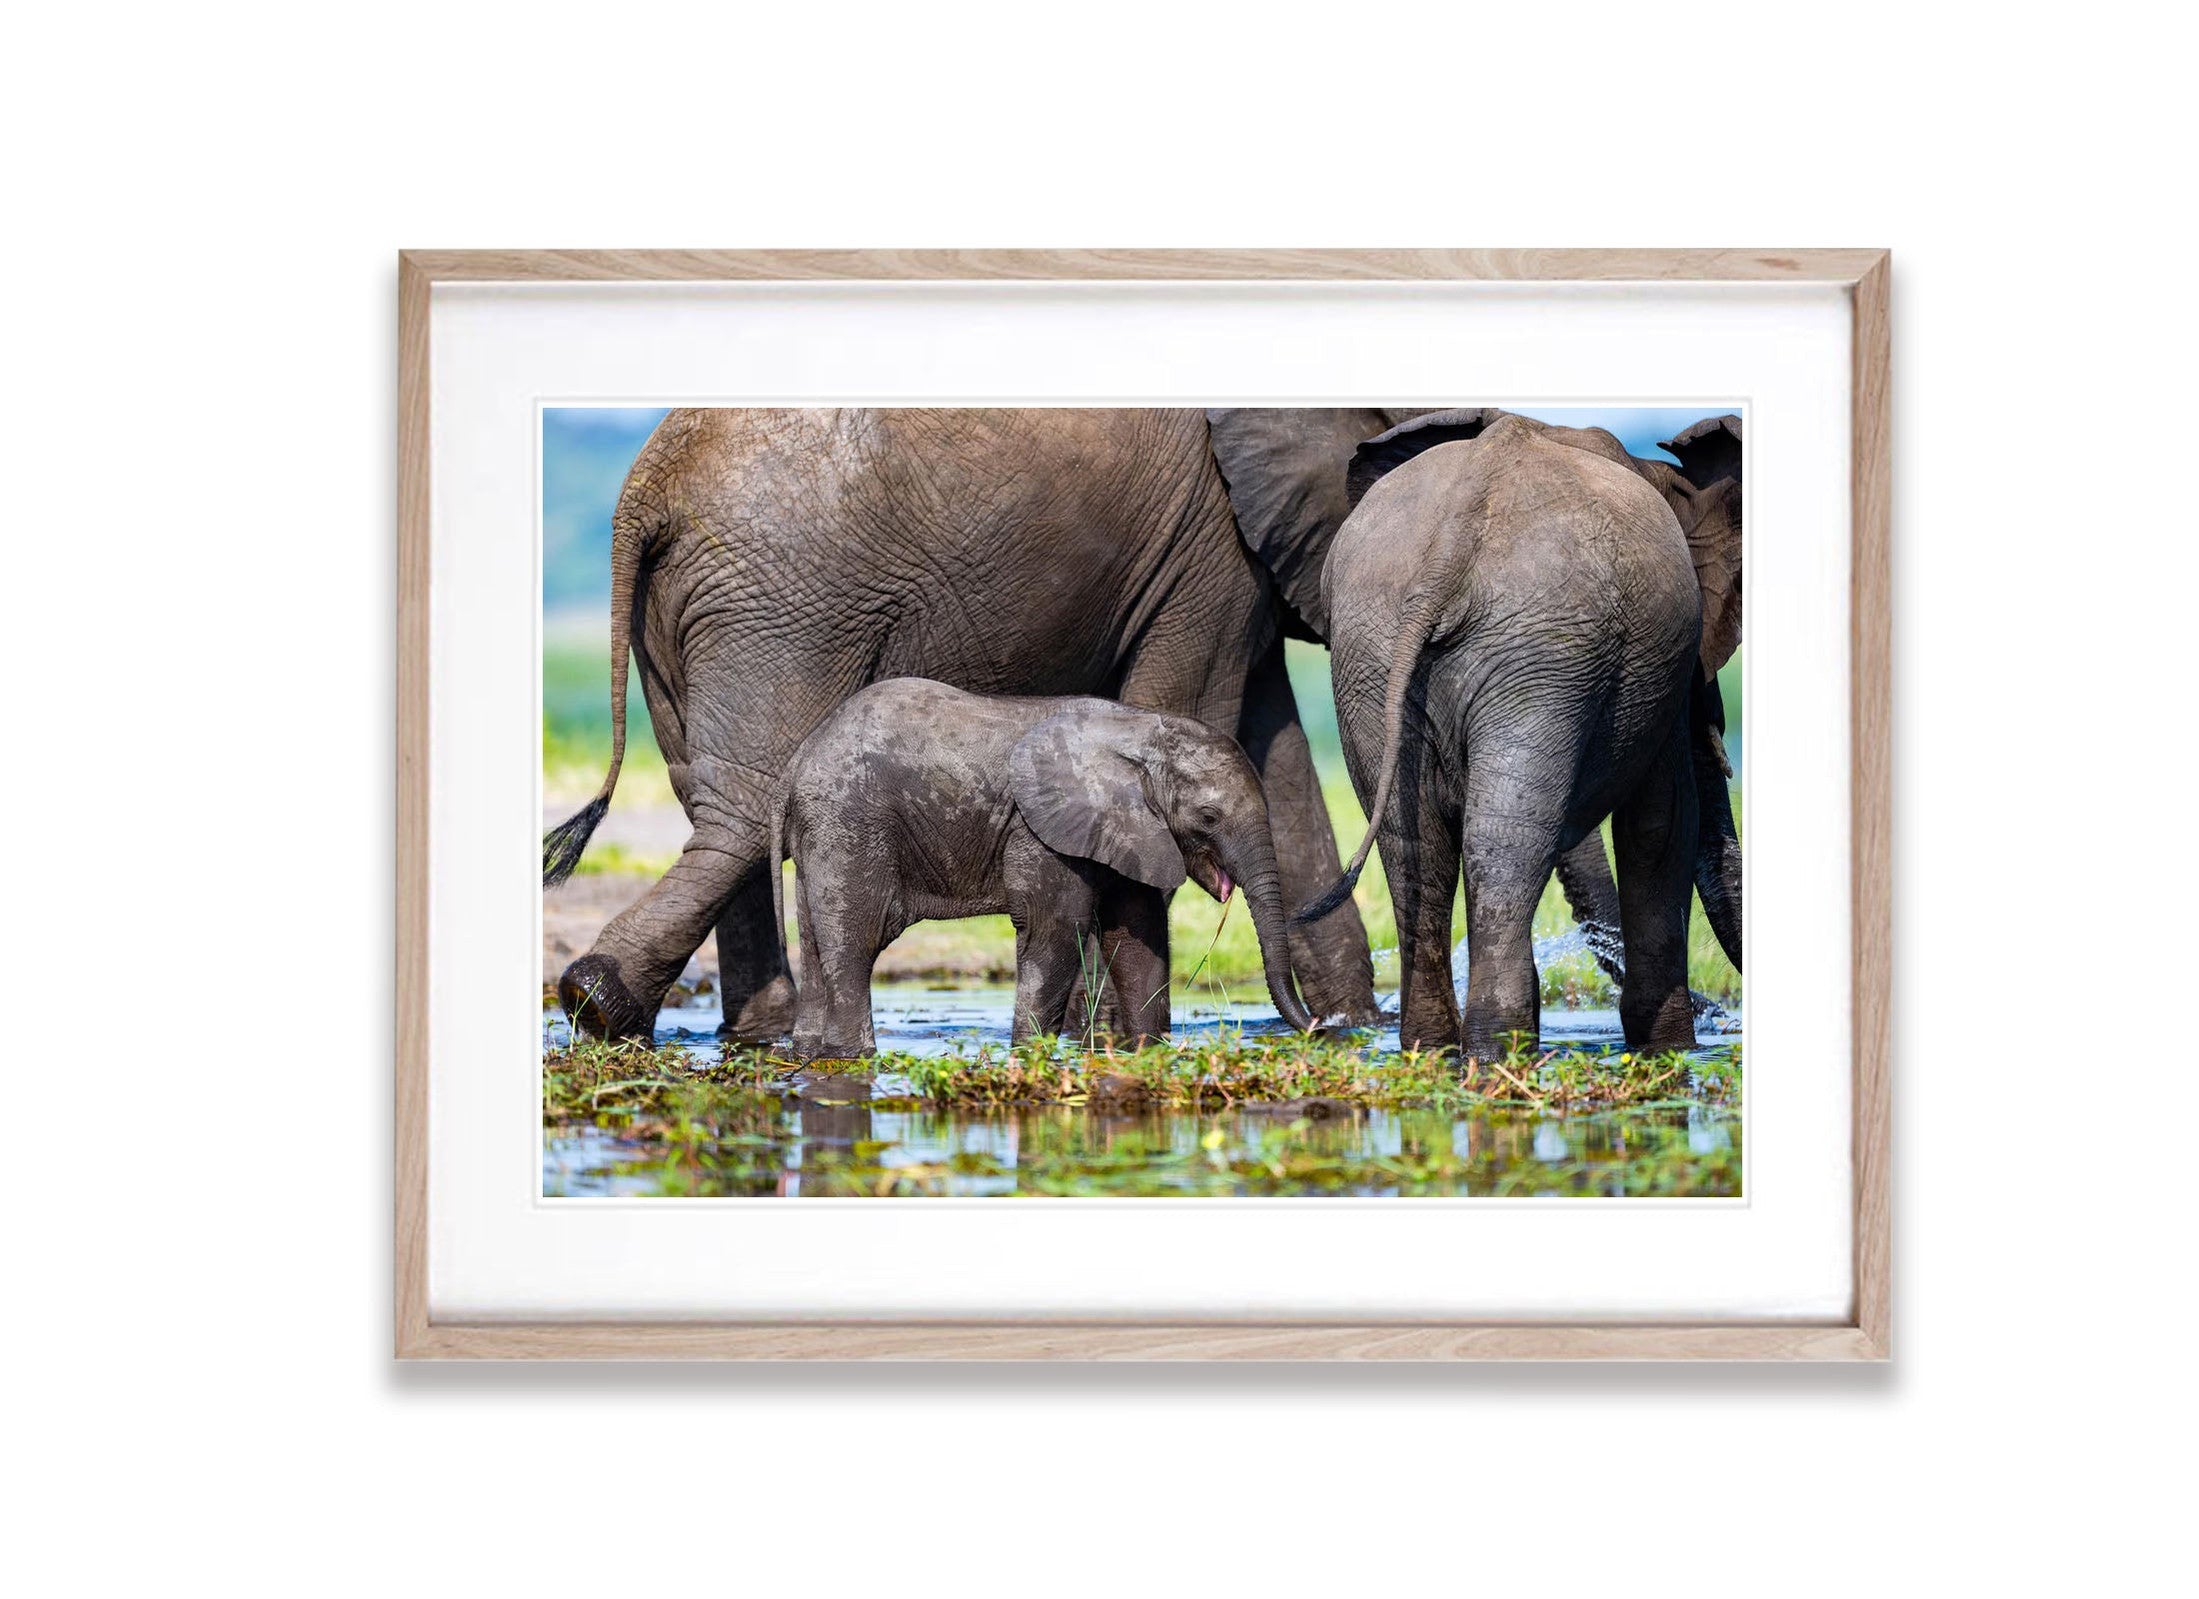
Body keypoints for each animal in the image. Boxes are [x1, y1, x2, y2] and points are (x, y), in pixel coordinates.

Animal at [774, 677, 1319, 1064]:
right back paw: (853, 1058)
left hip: (824, 832)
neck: (1141, 732)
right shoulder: (1043, 831)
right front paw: (1029, 1057)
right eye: (1208, 817)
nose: (1319, 1027)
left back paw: (809, 1055)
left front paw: (1150, 1054)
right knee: (857, 939)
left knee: (816, 942)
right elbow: (1056, 928)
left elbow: (1137, 935)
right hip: (851, 822)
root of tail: (798, 760)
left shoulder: (1125, 829)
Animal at [1293, 413, 1741, 1064]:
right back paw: (1496, 1055)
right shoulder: (1663, 665)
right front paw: (1669, 1053)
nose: (1724, 1021)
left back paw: (1438, 1052)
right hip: (1544, 654)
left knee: (1417, 844)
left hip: (1372, 651)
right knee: (1506, 840)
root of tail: (1450, 548)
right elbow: (1662, 825)